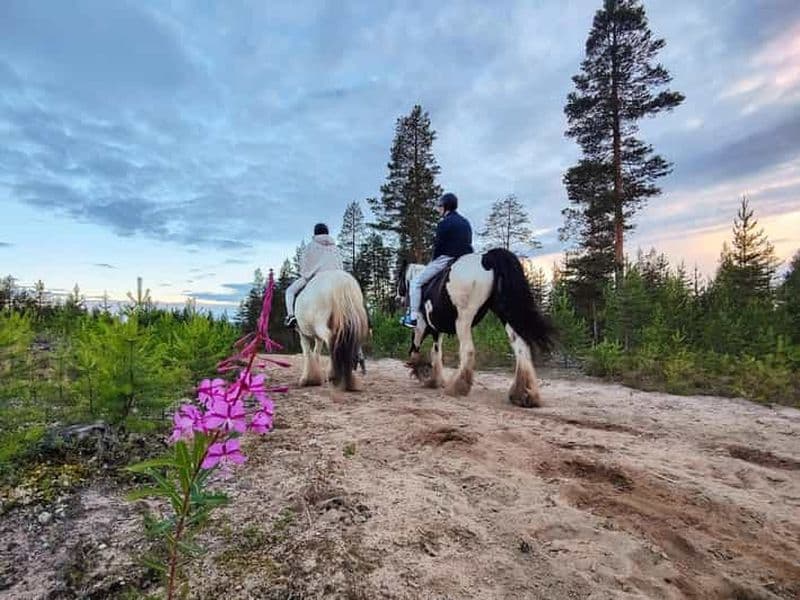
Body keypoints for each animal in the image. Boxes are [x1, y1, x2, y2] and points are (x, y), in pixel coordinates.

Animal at [397, 248, 555, 407]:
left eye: (399, 278)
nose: (398, 299)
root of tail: (486, 258)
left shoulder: (421, 326)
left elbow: (415, 348)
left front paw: (420, 371)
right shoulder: (437, 331)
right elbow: (436, 352)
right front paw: (434, 380)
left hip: (463, 319)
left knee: (468, 350)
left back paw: (458, 387)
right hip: (506, 315)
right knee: (521, 348)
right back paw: (524, 394)